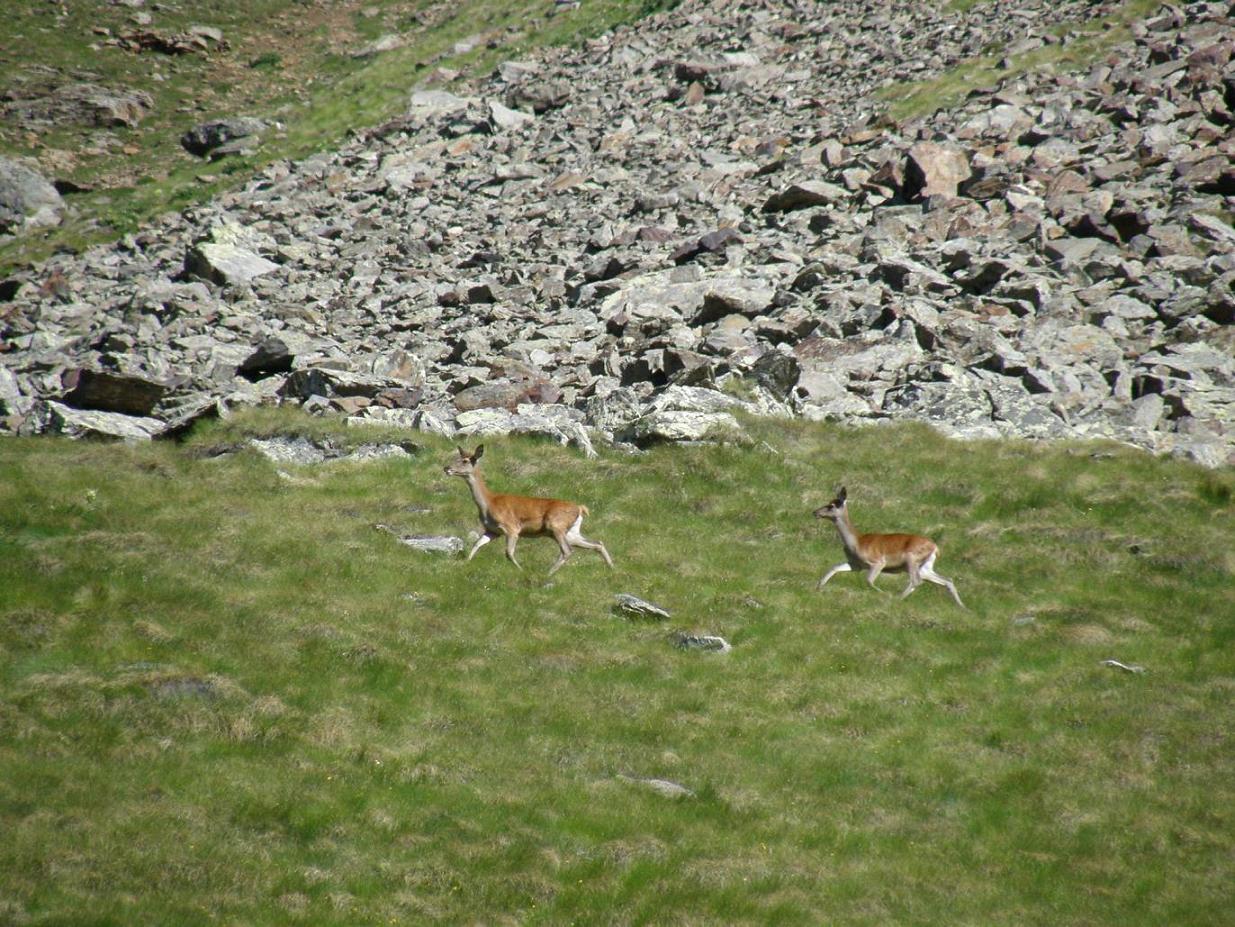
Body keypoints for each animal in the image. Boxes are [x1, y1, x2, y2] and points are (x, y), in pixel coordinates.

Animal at [447, 446, 615, 577]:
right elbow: (477, 544)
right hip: (571, 531)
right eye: (457, 457)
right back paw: (612, 568)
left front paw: (521, 570)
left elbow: (508, 553)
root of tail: (580, 508)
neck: (488, 503)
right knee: (597, 543)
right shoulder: (492, 530)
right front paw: (465, 563)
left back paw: (547, 574)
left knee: (567, 551)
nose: (446, 468)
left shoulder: (512, 528)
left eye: (465, 460)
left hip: (556, 525)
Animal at [815, 486, 968, 609]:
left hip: (912, 559)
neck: (857, 542)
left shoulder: (878, 562)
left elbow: (869, 580)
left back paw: (897, 598)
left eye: (832, 505)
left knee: (917, 580)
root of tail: (935, 548)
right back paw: (963, 607)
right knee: (947, 580)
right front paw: (819, 586)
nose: (815, 512)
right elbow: (834, 568)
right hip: (925, 566)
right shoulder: (856, 565)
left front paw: (883, 593)